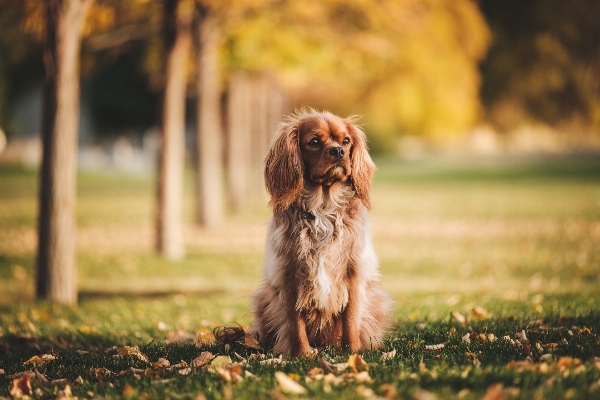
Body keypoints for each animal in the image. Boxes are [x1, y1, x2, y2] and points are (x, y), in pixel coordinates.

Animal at [248, 107, 394, 356]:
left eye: (346, 141)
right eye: (314, 142)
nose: (338, 151)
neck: (323, 208)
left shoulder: (353, 272)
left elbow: (351, 318)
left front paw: (352, 353)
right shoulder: (290, 273)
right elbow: (294, 322)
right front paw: (302, 354)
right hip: (263, 297)